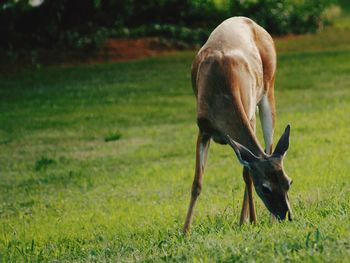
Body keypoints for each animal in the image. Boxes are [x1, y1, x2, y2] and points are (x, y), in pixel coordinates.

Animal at [183, 17, 292, 235]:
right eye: (265, 188)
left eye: (288, 183)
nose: (286, 215)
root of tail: (253, 22)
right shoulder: (203, 127)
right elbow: (197, 181)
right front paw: (185, 231)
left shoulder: (249, 114)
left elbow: (247, 173)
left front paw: (252, 220)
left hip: (268, 89)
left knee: (268, 147)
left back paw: (256, 220)